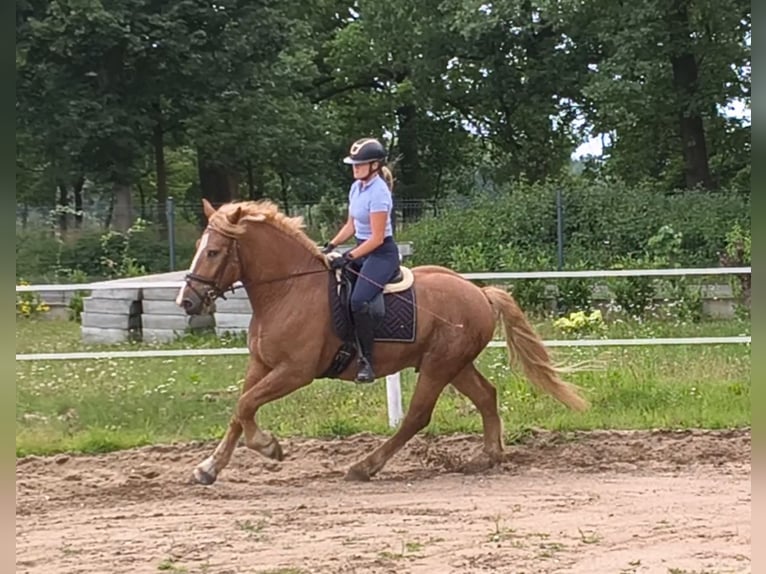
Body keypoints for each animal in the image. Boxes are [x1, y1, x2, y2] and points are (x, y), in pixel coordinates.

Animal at [176, 198, 588, 485]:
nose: (187, 301)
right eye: (198, 247)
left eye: (213, 252)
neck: (288, 291)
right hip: (454, 364)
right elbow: (240, 409)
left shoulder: (295, 371)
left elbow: (246, 404)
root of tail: (479, 293)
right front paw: (209, 468)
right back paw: (489, 456)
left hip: (438, 366)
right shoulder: (260, 364)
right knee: (486, 396)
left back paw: (364, 466)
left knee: (417, 416)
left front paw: (269, 447)